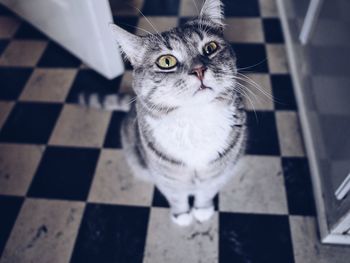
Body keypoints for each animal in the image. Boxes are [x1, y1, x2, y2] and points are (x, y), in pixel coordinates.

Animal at [98, 0, 246, 227]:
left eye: (210, 48)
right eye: (166, 62)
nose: (199, 70)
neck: (195, 119)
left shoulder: (219, 171)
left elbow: (207, 191)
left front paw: (202, 210)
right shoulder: (166, 177)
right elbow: (176, 196)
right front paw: (182, 215)